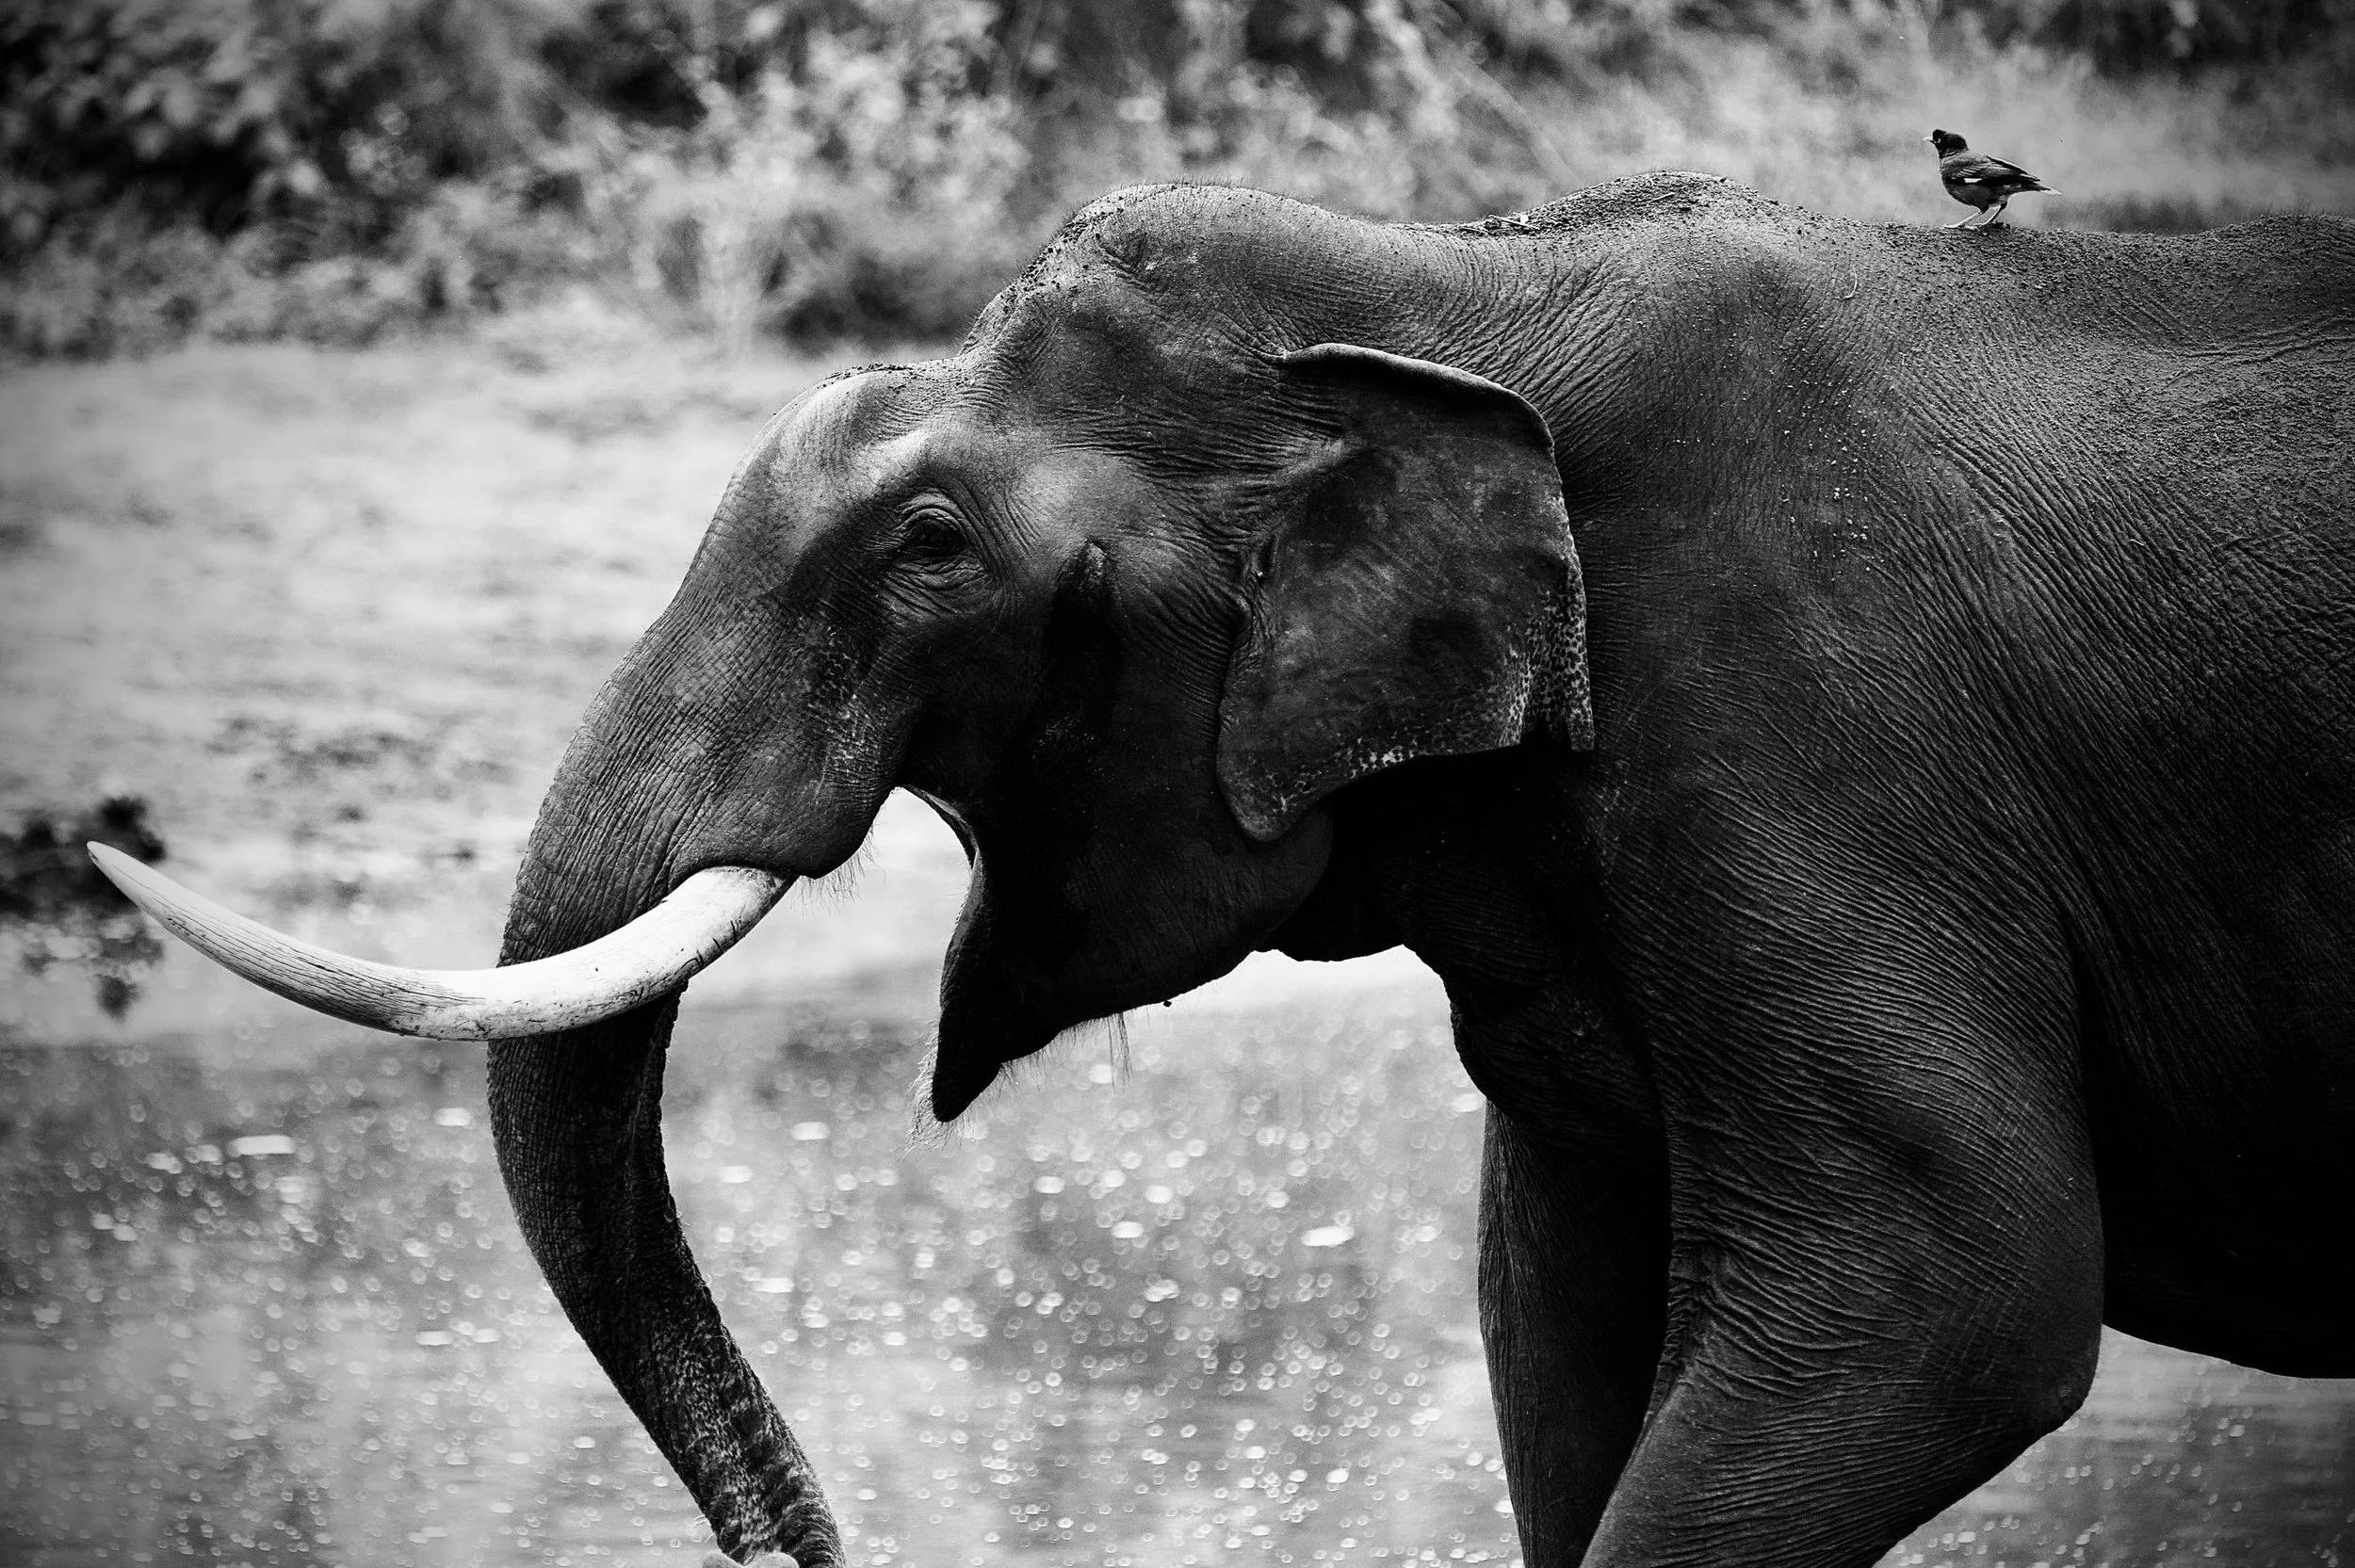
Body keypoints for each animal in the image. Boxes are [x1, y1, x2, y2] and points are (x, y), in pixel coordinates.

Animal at [95, 173, 2355, 1568]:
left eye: (929, 550)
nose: (823, 1536)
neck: (1449, 278)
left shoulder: (1810, 707)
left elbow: (1943, 1282)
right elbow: (1559, 1308)